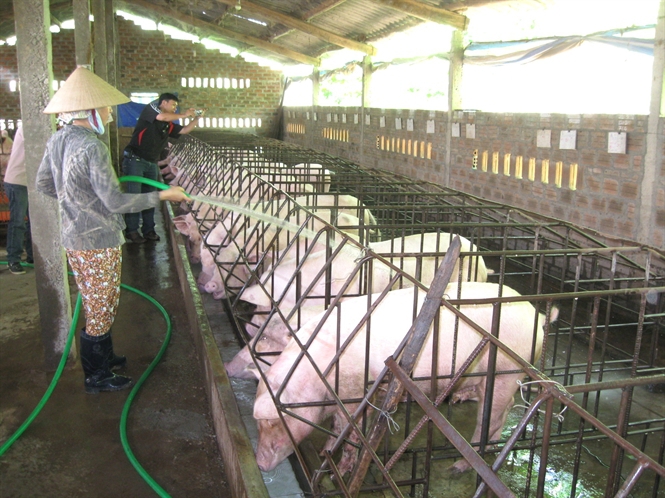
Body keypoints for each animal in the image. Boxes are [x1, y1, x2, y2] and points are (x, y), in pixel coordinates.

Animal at [250, 284, 556, 474]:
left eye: (272, 421)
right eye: (257, 421)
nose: (260, 465)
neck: (320, 372)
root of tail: (536, 315)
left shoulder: (354, 388)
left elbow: (350, 430)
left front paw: (339, 468)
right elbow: (338, 427)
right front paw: (327, 452)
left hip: (508, 369)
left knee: (493, 416)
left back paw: (458, 467)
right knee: (502, 410)